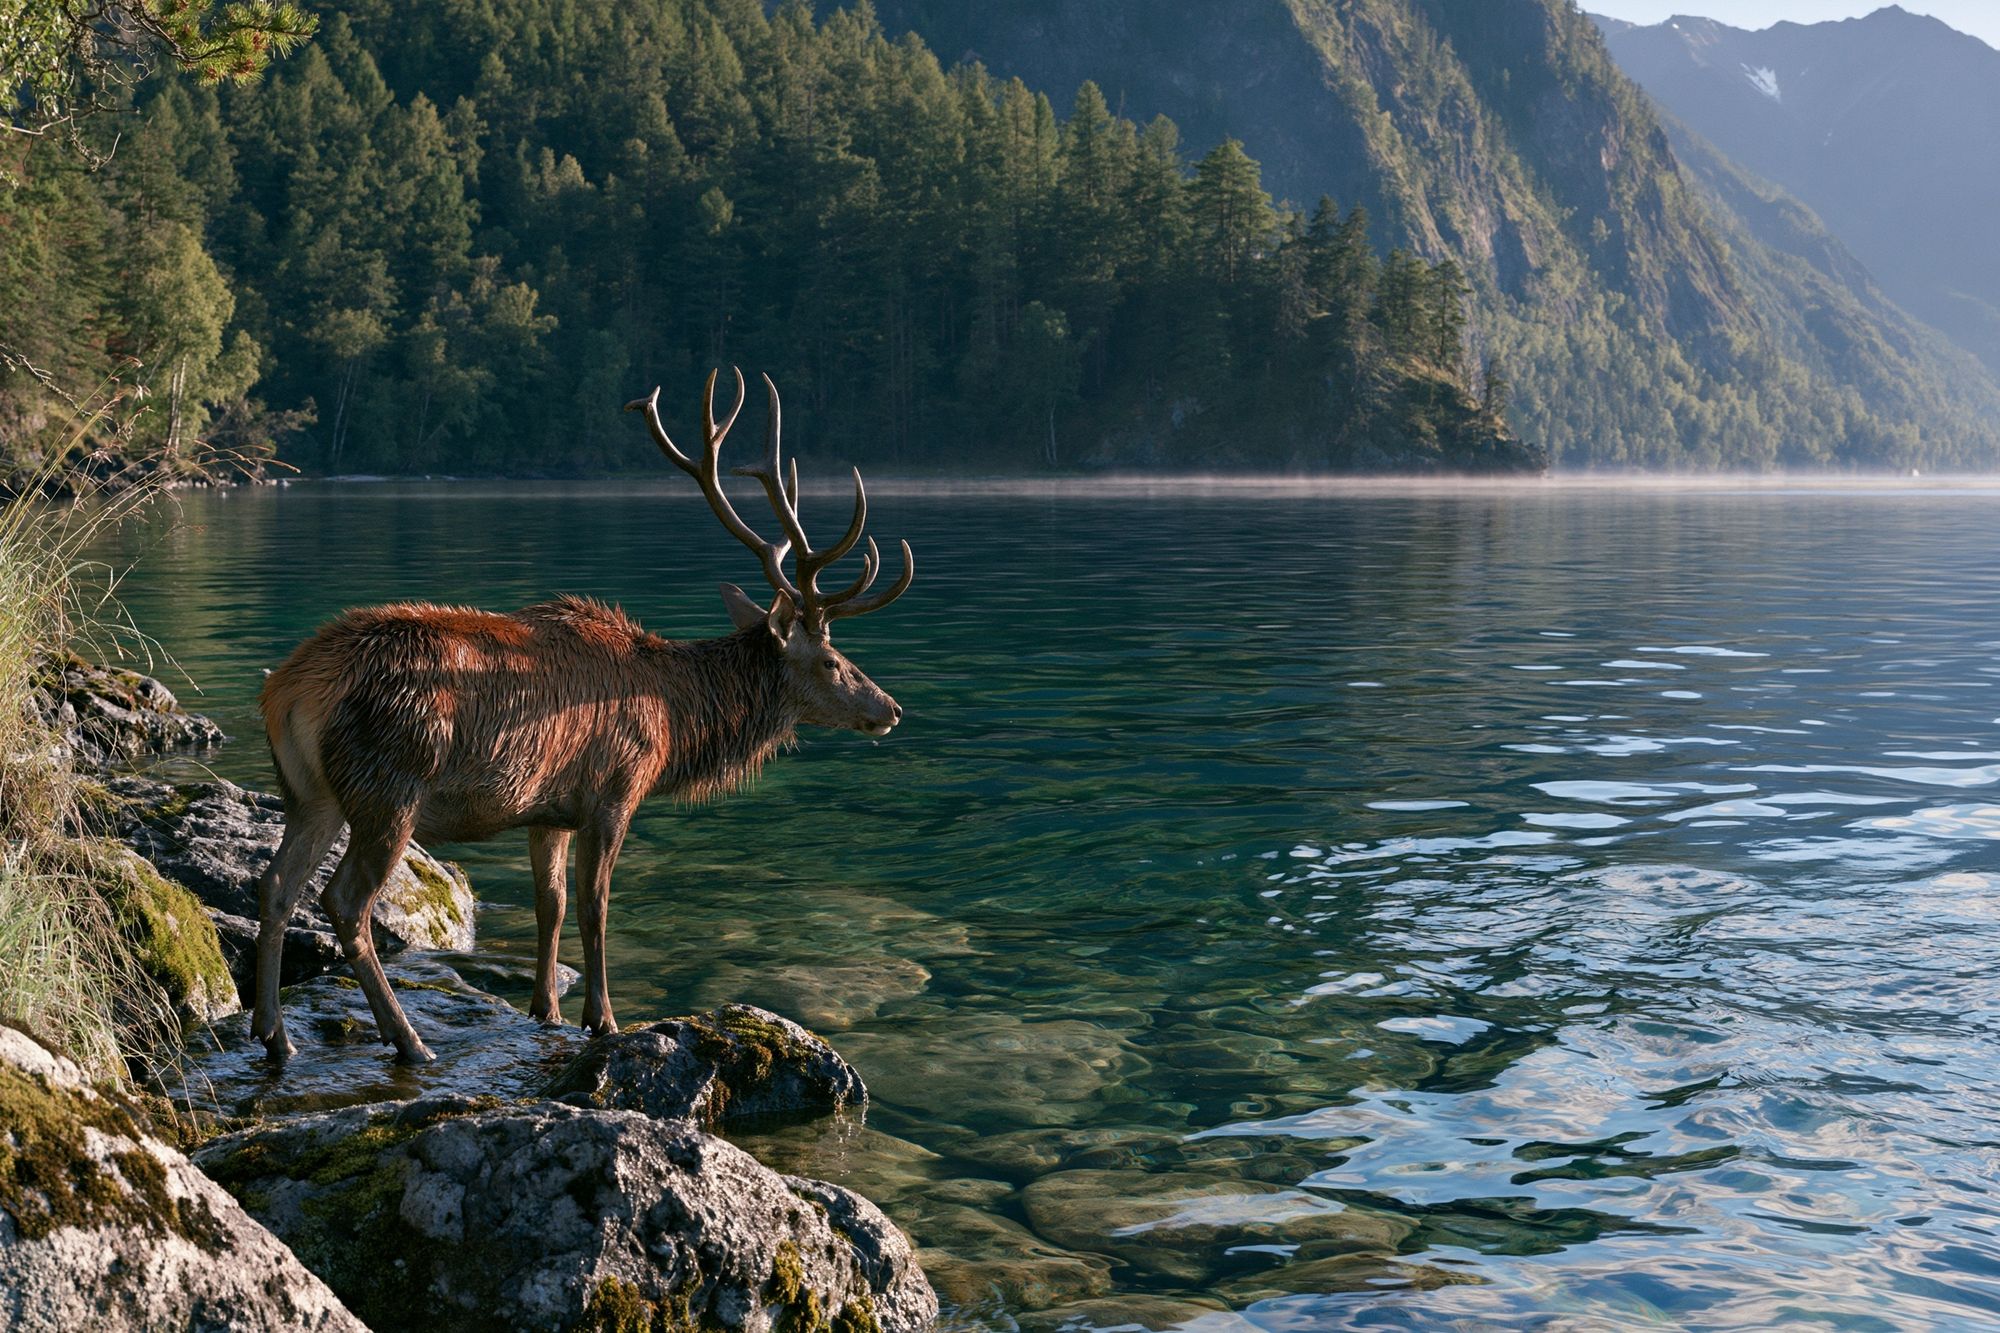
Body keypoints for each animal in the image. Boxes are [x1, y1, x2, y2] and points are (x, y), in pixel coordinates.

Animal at [250, 369, 914, 1063]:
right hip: (390, 785)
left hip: (311, 792)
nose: (890, 709)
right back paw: (407, 1040)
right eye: (833, 661)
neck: (674, 722)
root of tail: (290, 688)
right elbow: (596, 907)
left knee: (276, 885)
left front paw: (546, 1010)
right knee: (344, 902)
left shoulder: (547, 809)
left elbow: (552, 904)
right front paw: (604, 1019)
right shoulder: (615, 790)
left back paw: (275, 1034)